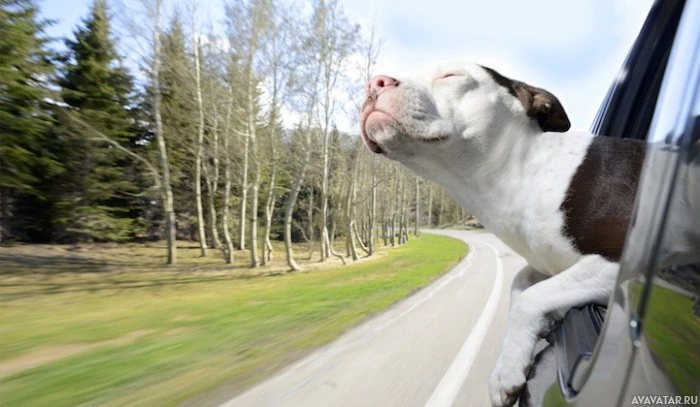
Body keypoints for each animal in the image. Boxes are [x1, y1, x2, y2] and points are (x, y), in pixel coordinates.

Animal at [358, 62, 648, 406]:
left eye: (451, 75)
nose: (375, 82)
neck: (525, 173)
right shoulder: (542, 261)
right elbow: (520, 286)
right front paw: (509, 365)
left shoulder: (625, 262)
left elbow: (531, 296)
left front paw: (507, 369)